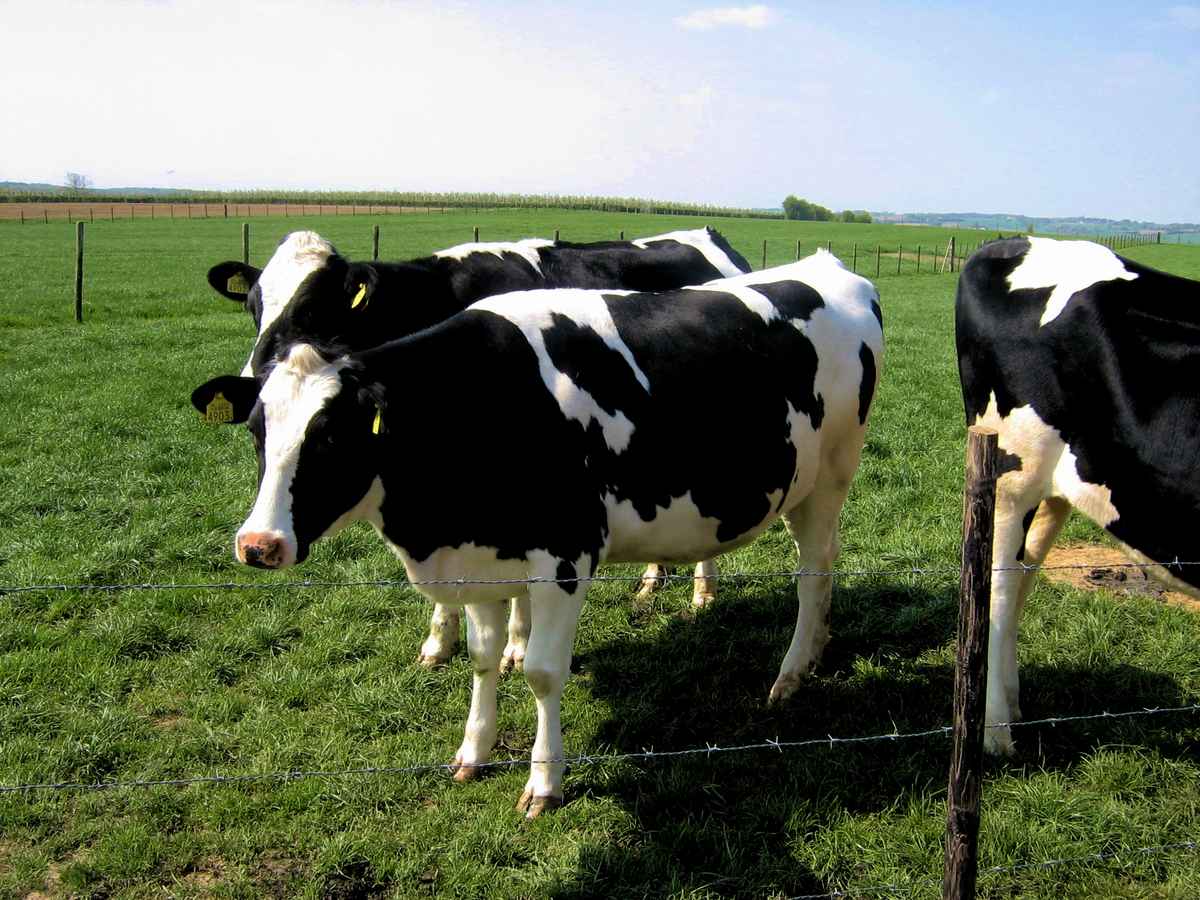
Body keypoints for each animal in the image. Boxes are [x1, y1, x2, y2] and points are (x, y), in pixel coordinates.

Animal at [195, 227, 752, 669]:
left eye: (312, 306)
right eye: (253, 307)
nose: (252, 380)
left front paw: (517, 646)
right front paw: (438, 644)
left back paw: (703, 590)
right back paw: (654, 575)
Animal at [955, 235, 1200, 755]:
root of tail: (1011, 243)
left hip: (1051, 490)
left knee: (1023, 576)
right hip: (1011, 477)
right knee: (996, 588)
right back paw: (996, 733)